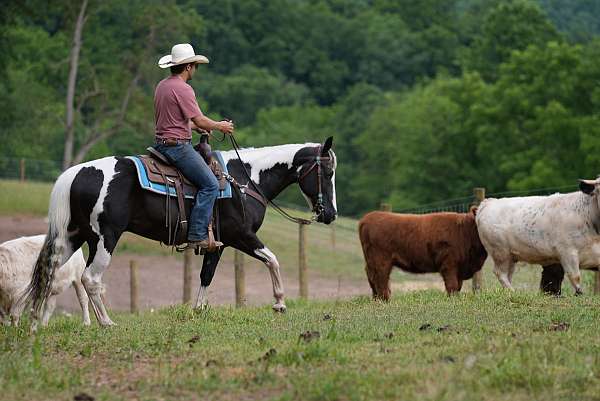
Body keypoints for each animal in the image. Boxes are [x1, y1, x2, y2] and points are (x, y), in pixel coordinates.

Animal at [25, 138, 338, 324]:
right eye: (328, 172)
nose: (331, 214)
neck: (245, 180)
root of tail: (74, 173)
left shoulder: (218, 244)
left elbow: (206, 275)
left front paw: (197, 310)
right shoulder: (242, 236)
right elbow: (272, 259)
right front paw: (280, 303)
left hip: (73, 237)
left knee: (49, 272)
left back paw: (35, 323)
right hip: (105, 238)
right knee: (90, 278)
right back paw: (106, 323)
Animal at [358, 209, 486, 296]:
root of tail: (367, 218)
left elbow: (458, 286)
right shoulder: (449, 264)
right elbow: (452, 286)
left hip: (371, 261)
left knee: (373, 279)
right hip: (381, 261)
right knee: (381, 280)